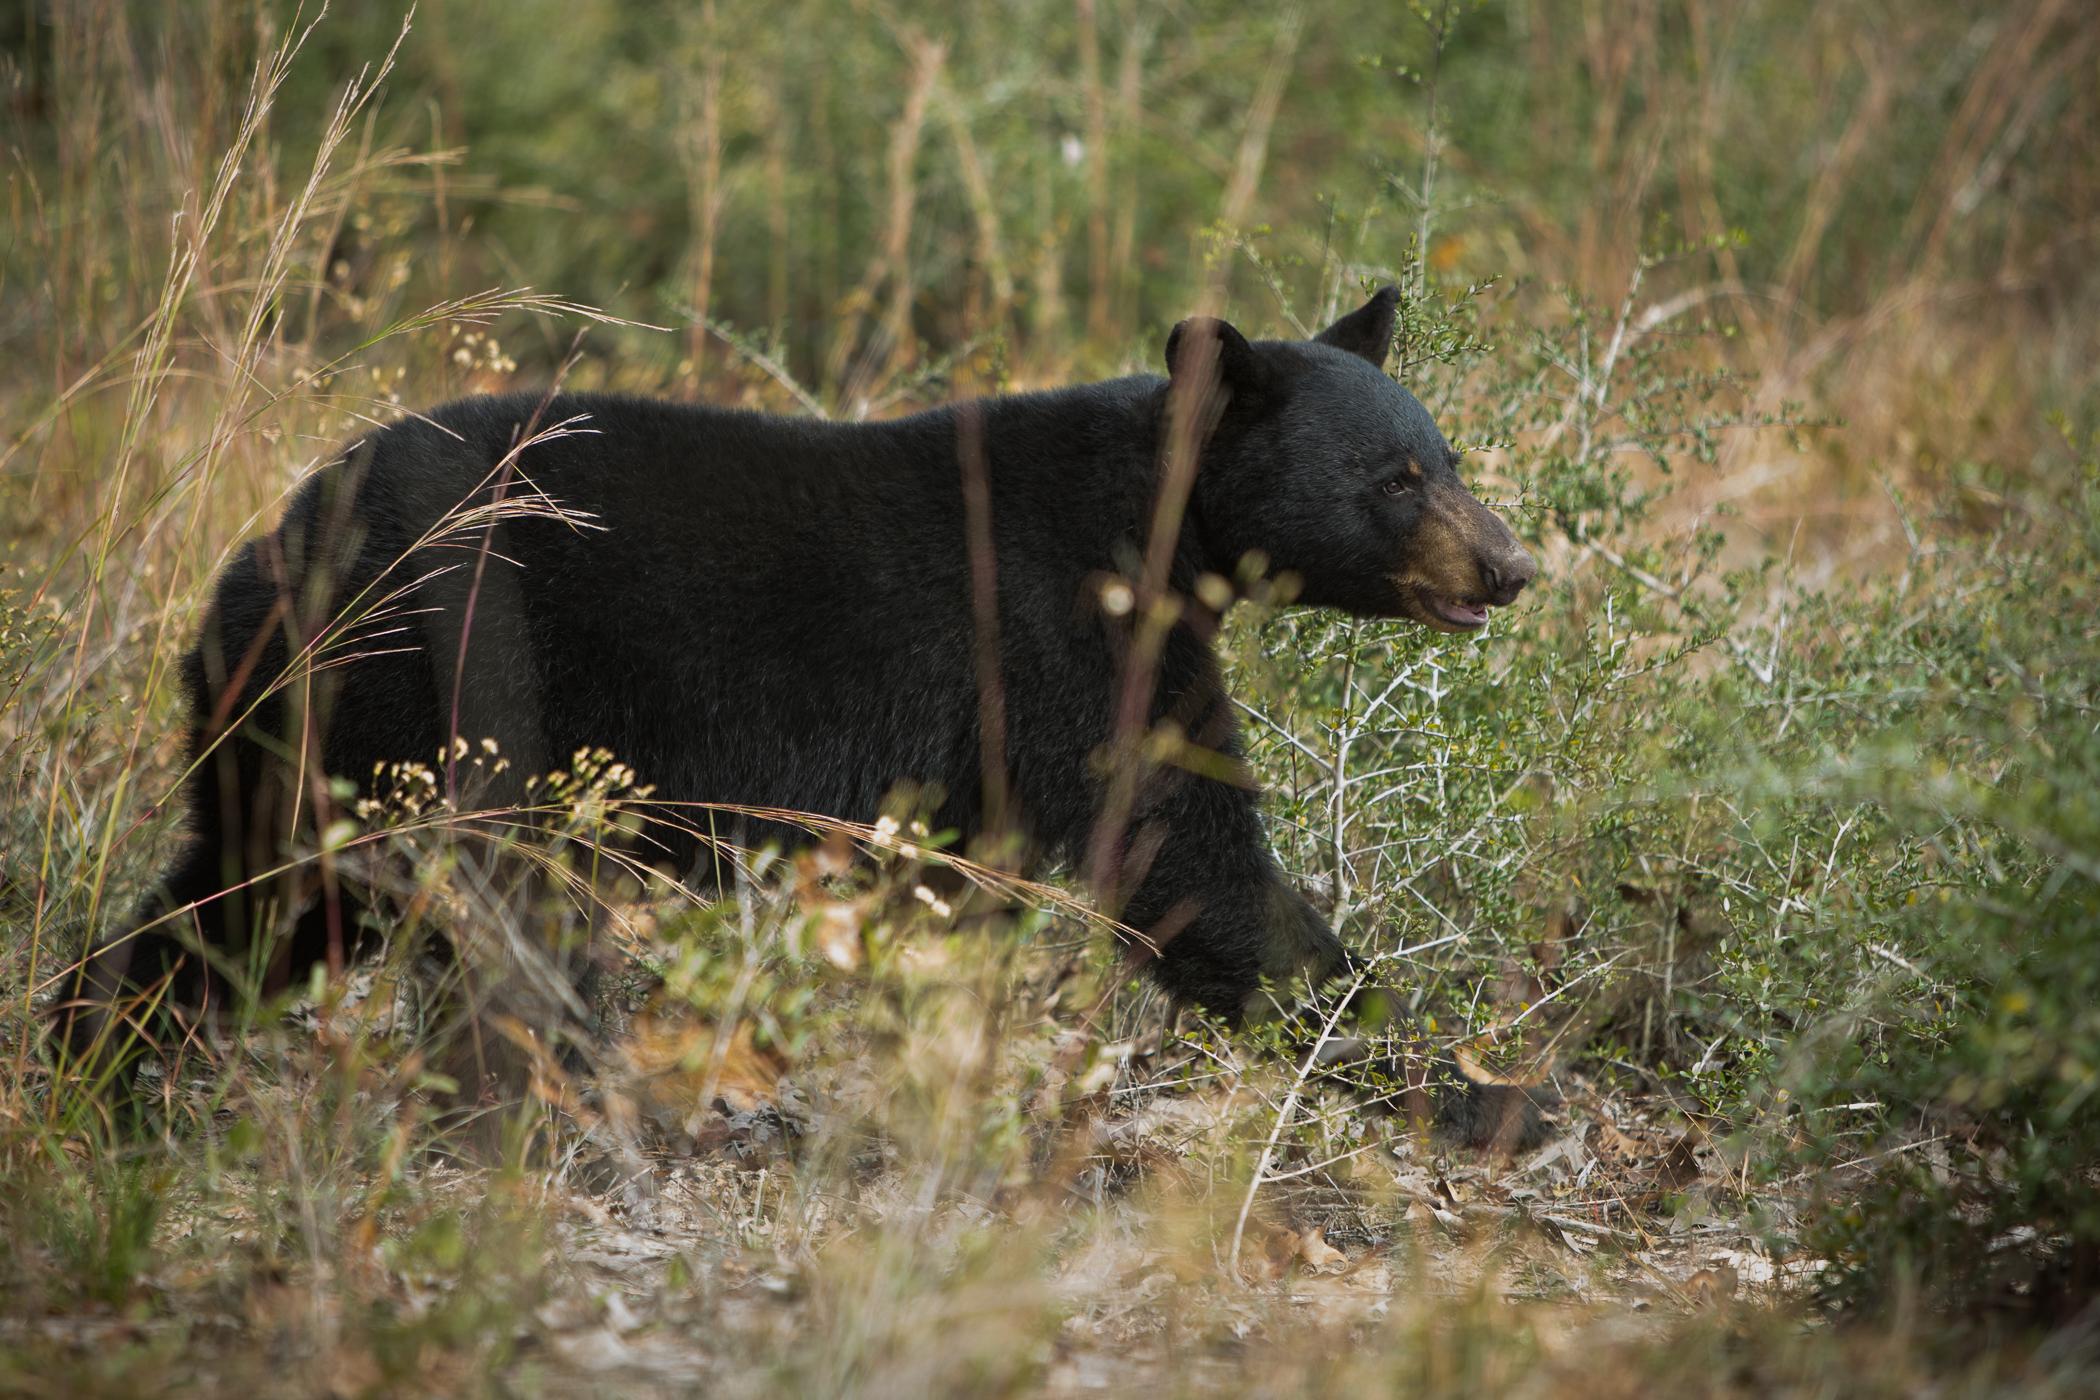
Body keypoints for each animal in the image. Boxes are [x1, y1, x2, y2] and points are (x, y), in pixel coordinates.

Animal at [57, 287, 1537, 1062]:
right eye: (1395, 480)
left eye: (1446, 457)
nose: (1514, 565)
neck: (1150, 530)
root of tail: (274, 544)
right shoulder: (1058, 641)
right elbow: (1190, 856)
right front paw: (1446, 1076)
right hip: (436, 705)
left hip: (300, 736)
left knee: (243, 898)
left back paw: (104, 1063)